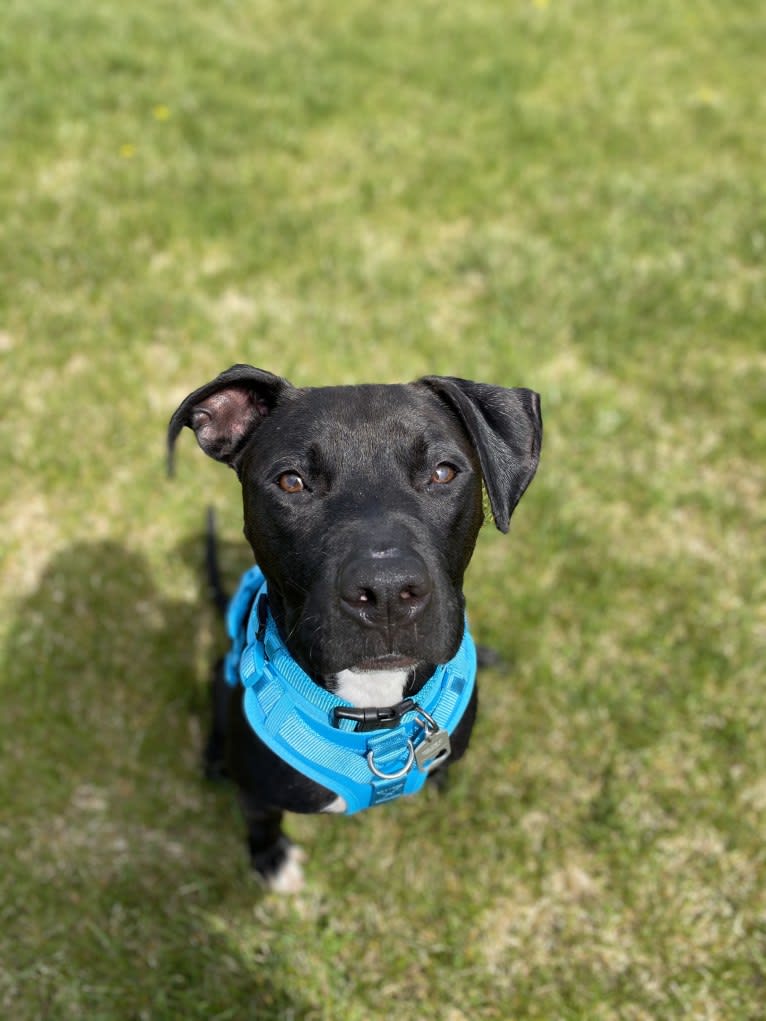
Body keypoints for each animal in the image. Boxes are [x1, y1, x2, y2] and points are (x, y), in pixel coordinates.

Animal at [169, 365, 539, 886]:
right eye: (291, 481)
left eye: (443, 472)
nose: (386, 593)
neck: (376, 711)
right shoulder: (258, 794)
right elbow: (261, 820)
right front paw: (270, 858)